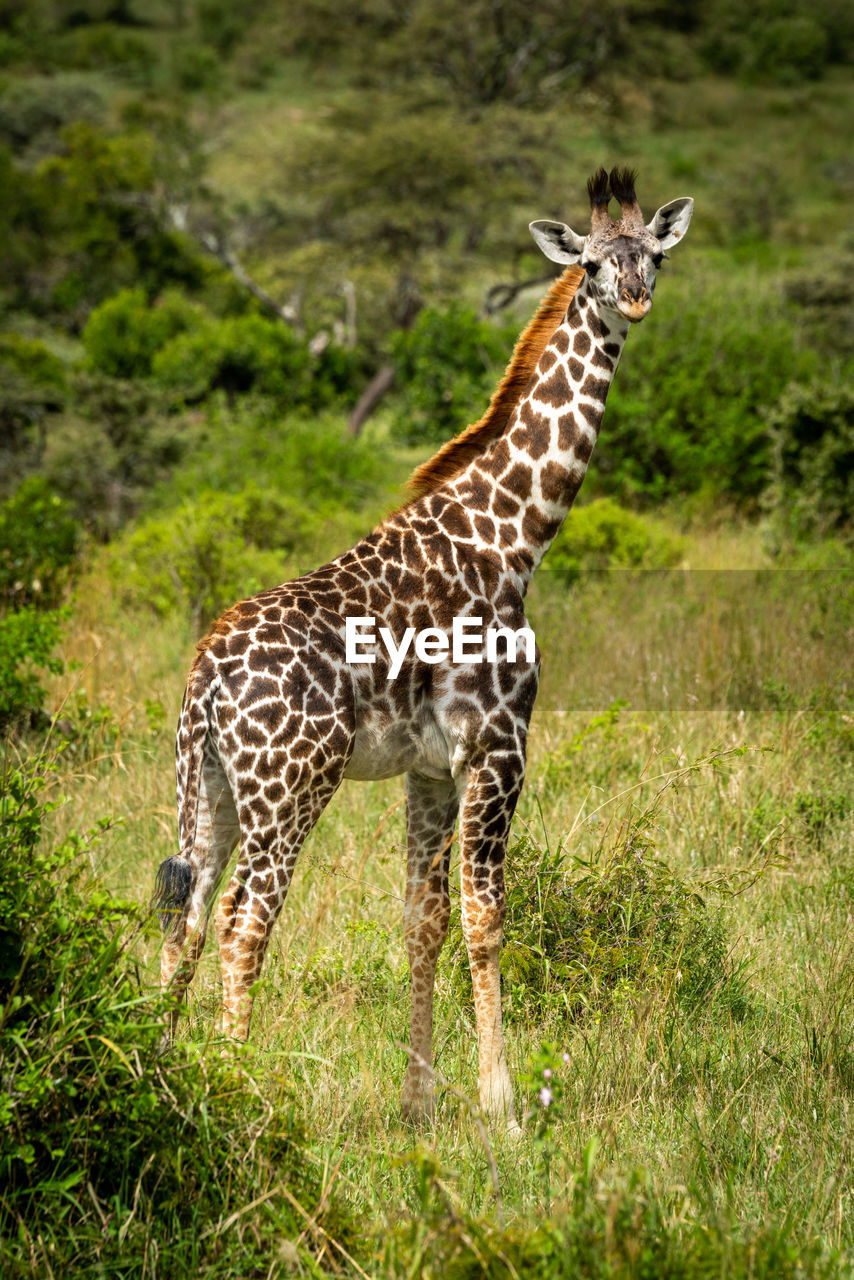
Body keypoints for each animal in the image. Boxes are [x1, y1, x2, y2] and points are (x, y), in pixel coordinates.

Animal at [155, 167, 696, 1131]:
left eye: (654, 255)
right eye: (593, 263)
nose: (633, 299)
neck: (514, 534)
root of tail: (206, 679)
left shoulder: (431, 767)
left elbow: (423, 921)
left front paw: (419, 1104)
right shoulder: (498, 745)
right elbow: (486, 919)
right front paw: (503, 1105)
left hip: (206, 788)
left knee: (187, 918)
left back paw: (160, 1077)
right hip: (290, 787)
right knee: (245, 922)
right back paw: (236, 1095)